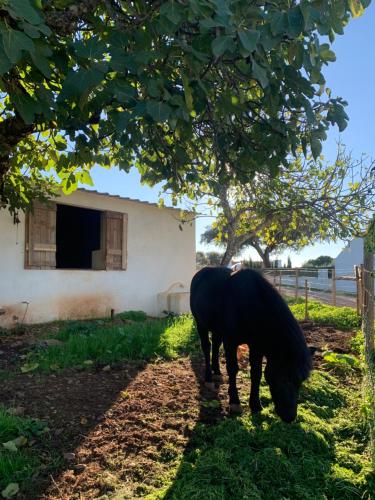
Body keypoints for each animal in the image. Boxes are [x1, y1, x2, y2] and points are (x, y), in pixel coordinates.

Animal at [189, 266, 316, 422]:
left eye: (302, 380)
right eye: (285, 379)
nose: (290, 416)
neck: (250, 306)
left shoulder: (257, 346)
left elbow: (256, 373)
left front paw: (255, 404)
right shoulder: (230, 342)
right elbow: (233, 369)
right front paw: (235, 402)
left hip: (216, 328)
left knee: (216, 345)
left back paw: (217, 372)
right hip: (200, 323)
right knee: (207, 348)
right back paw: (209, 378)